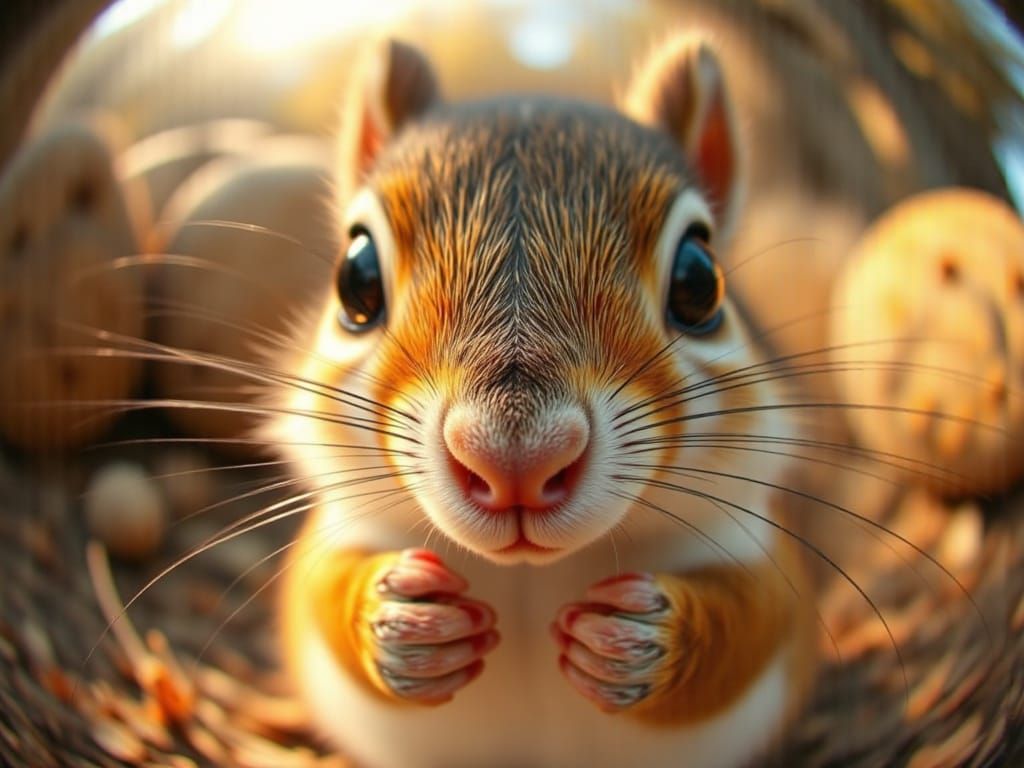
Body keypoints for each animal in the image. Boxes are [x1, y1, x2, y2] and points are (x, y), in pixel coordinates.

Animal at [271, 37, 819, 768]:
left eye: (700, 280)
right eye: (355, 277)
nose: (516, 463)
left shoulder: (762, 549)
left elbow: (755, 619)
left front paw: (641, 638)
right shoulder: (332, 532)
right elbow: (316, 591)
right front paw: (399, 621)